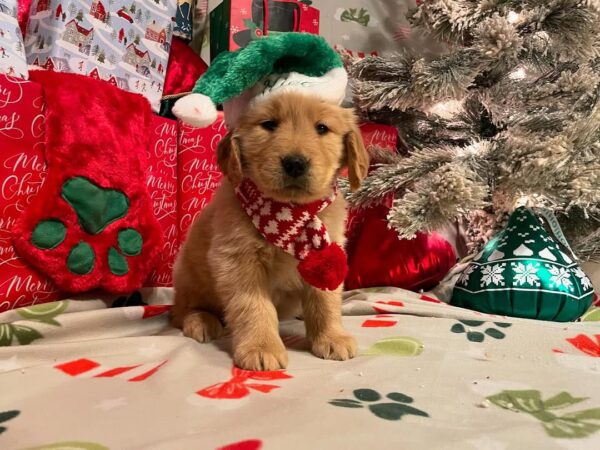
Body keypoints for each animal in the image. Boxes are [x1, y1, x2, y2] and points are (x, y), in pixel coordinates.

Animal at [170, 92, 370, 372]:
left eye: (322, 128)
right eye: (269, 124)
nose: (295, 163)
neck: (289, 213)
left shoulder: (330, 250)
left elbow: (325, 299)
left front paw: (332, 337)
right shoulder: (237, 260)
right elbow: (254, 306)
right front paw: (261, 346)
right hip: (189, 276)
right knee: (180, 311)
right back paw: (200, 320)